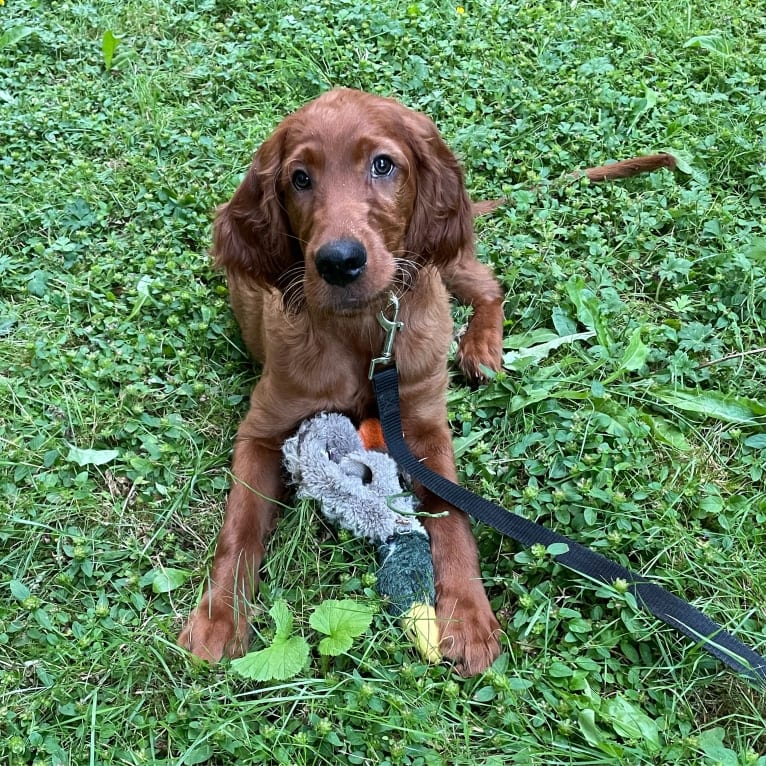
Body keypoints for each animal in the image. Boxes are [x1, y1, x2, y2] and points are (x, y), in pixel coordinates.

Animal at [177, 88, 508, 680]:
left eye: (383, 165)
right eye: (299, 178)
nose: (338, 261)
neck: (361, 332)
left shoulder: (425, 428)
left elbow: (452, 516)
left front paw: (469, 617)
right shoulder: (262, 430)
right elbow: (239, 527)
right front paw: (217, 620)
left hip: (438, 262)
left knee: (487, 284)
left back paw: (481, 348)